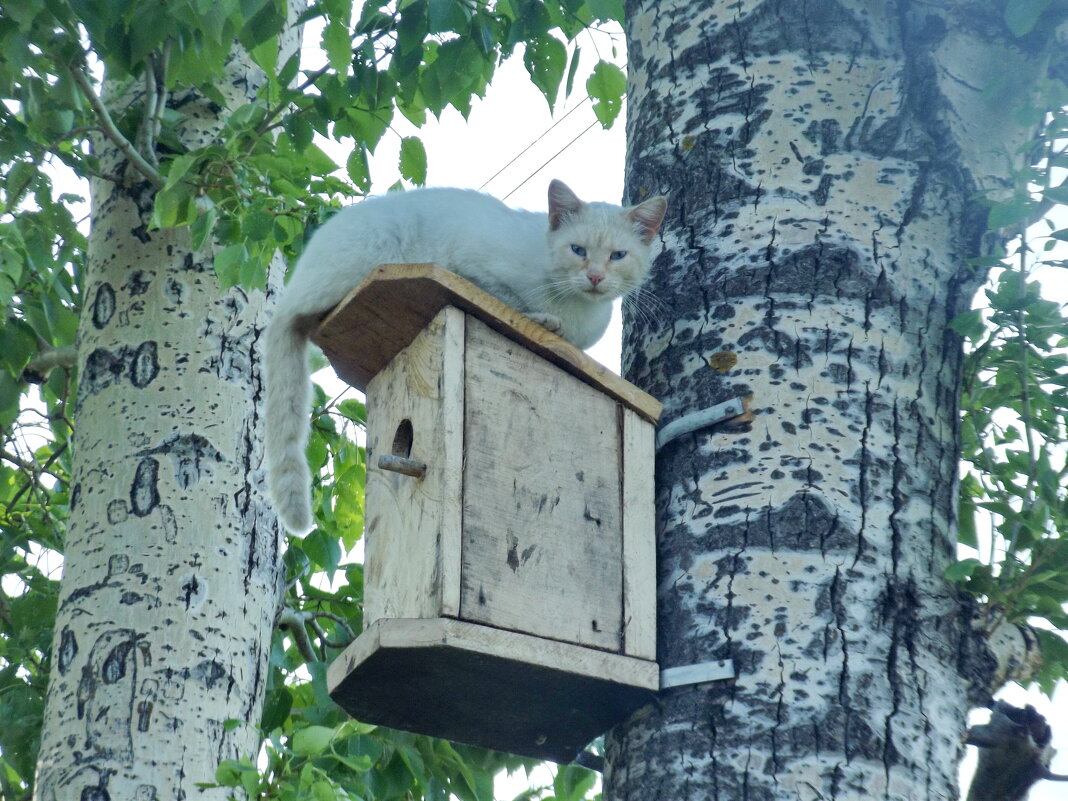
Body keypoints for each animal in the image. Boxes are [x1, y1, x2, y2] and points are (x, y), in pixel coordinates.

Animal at [264, 180, 666, 534]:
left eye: (618, 256)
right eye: (578, 250)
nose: (595, 277)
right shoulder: (471, 263)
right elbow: (505, 298)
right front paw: (543, 320)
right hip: (377, 251)